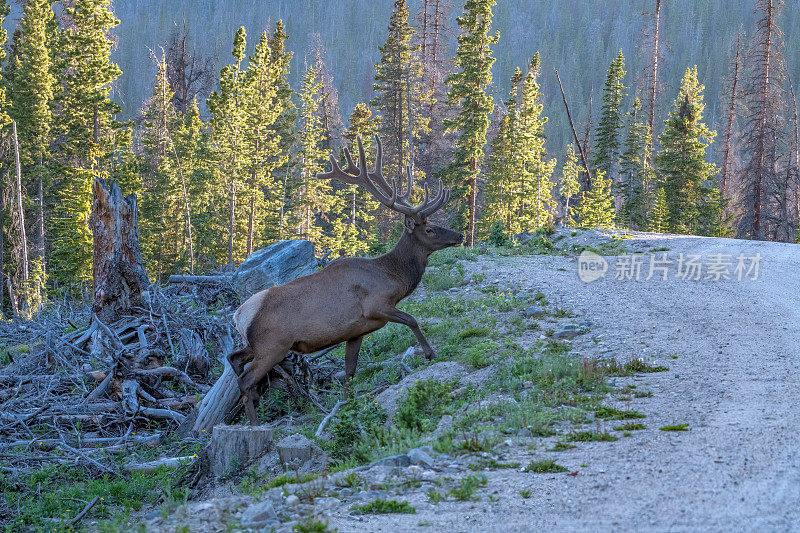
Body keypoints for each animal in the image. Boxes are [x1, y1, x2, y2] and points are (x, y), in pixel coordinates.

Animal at [228, 135, 462, 422]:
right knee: (245, 379)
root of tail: (239, 315)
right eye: (429, 229)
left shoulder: (356, 330)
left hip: (257, 345)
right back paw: (254, 423)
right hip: (273, 345)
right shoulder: (376, 305)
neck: (395, 278)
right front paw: (429, 353)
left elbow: (350, 370)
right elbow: (412, 319)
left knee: (234, 358)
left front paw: (346, 405)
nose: (460, 235)